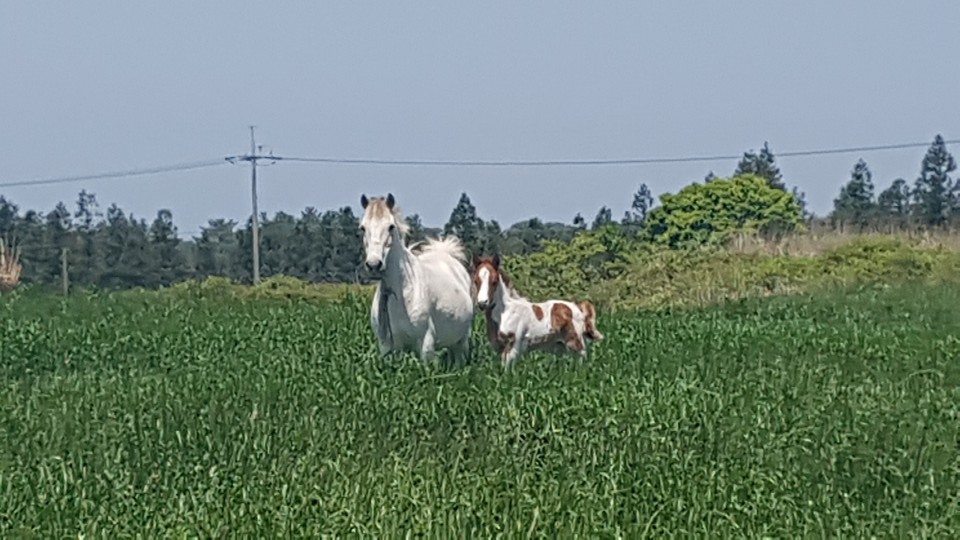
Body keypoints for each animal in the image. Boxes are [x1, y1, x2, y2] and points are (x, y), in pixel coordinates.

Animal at [358, 192, 474, 364]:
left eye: (391, 226)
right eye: (363, 227)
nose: (374, 264)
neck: (402, 293)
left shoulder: (426, 345)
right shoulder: (387, 347)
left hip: (462, 342)